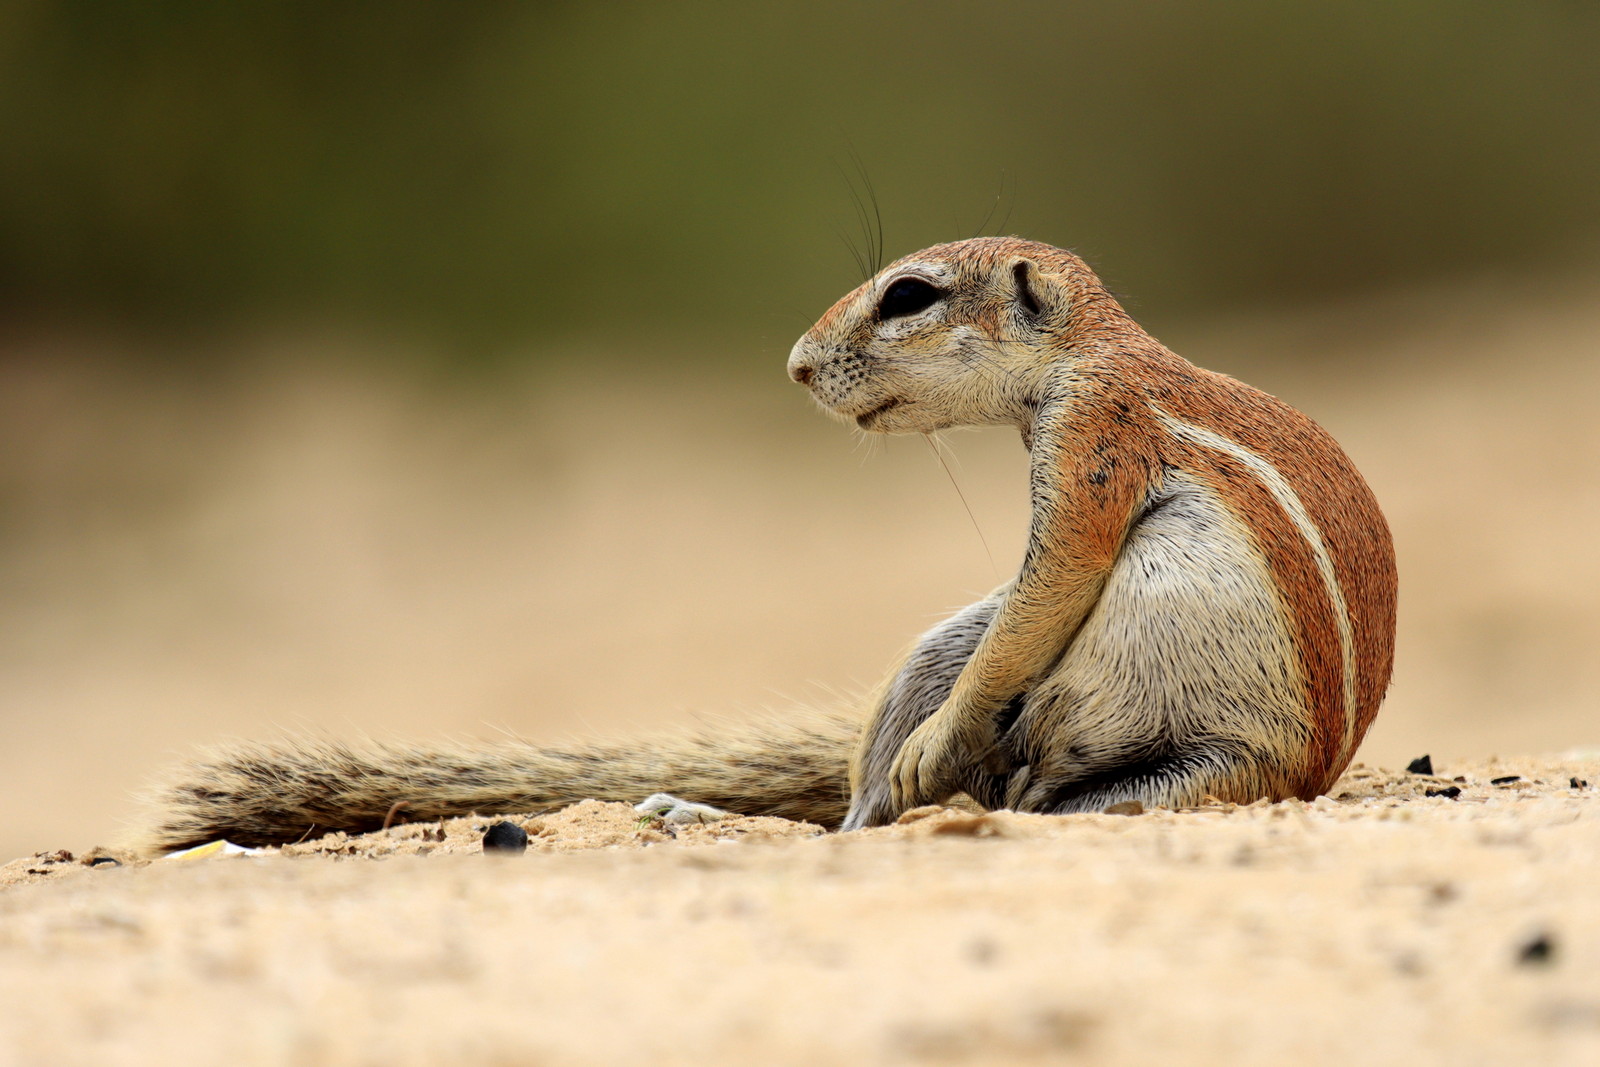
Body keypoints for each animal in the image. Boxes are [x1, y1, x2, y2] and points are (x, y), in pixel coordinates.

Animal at [137, 238, 1395, 857]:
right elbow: (1019, 618)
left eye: (909, 295)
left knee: (1055, 790)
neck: (1086, 350)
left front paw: (939, 747)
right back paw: (719, 814)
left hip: (1192, 773)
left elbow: (1057, 578)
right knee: (871, 793)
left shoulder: (1091, 440)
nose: (793, 365)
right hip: (939, 650)